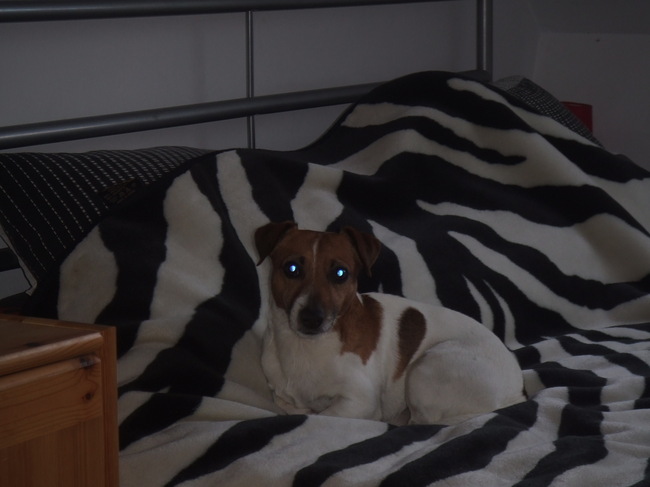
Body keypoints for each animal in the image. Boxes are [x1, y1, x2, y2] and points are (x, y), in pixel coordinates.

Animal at [255, 221, 526, 425]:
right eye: (291, 268)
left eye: (340, 274)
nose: (312, 318)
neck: (305, 347)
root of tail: (516, 393)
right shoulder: (281, 395)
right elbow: (293, 406)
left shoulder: (359, 402)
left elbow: (325, 415)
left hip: (427, 368)